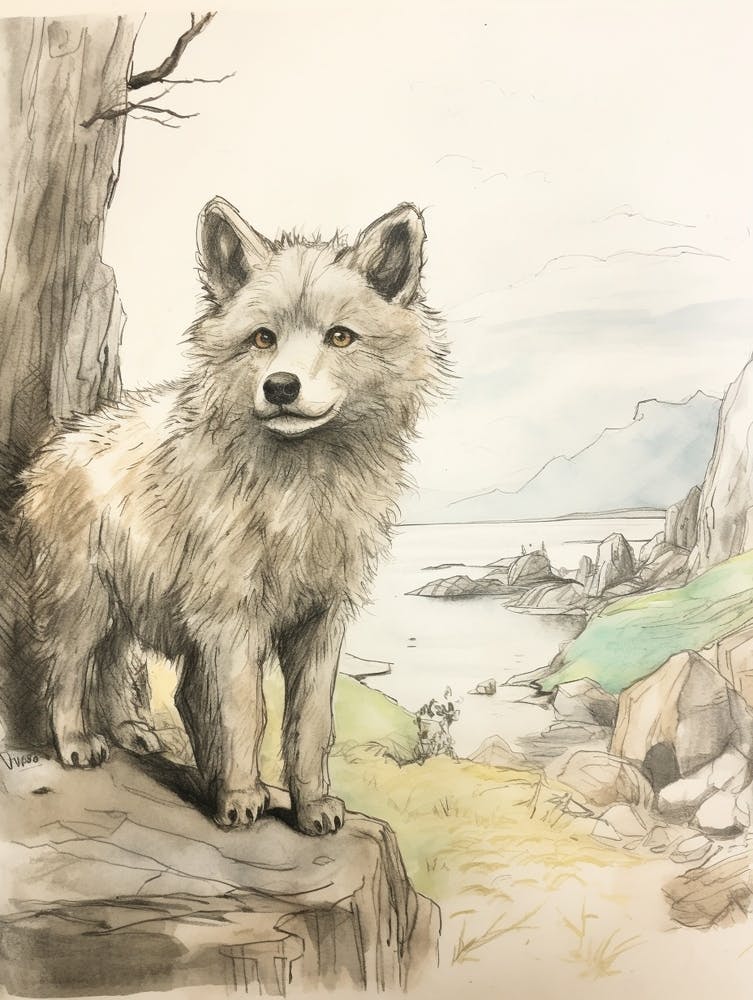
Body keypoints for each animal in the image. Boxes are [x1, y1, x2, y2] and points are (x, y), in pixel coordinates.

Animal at [19, 198, 448, 834]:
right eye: (262, 337)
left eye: (340, 337)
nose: (281, 386)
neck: (299, 489)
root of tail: (61, 443)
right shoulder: (232, 619)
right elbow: (246, 716)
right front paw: (241, 799)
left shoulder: (320, 620)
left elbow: (310, 725)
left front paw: (311, 804)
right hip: (86, 600)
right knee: (70, 670)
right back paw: (77, 743)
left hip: (134, 606)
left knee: (128, 674)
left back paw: (134, 733)